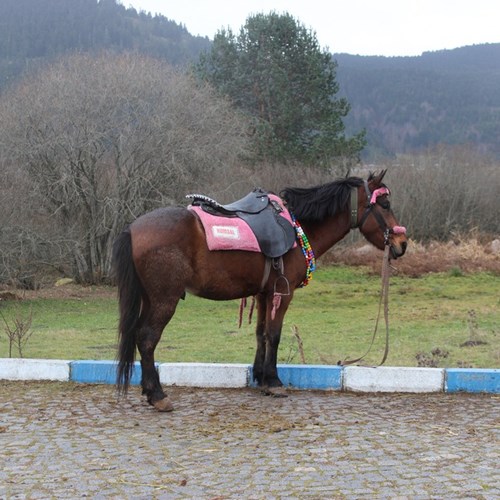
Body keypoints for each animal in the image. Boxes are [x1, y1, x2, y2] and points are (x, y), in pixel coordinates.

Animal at [113, 170, 407, 411]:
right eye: (385, 204)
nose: (402, 243)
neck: (297, 226)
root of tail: (133, 228)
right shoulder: (283, 294)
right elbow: (274, 335)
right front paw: (274, 381)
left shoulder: (264, 294)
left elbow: (261, 334)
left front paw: (261, 377)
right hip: (165, 299)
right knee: (147, 339)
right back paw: (158, 396)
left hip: (150, 299)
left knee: (138, 336)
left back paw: (149, 390)